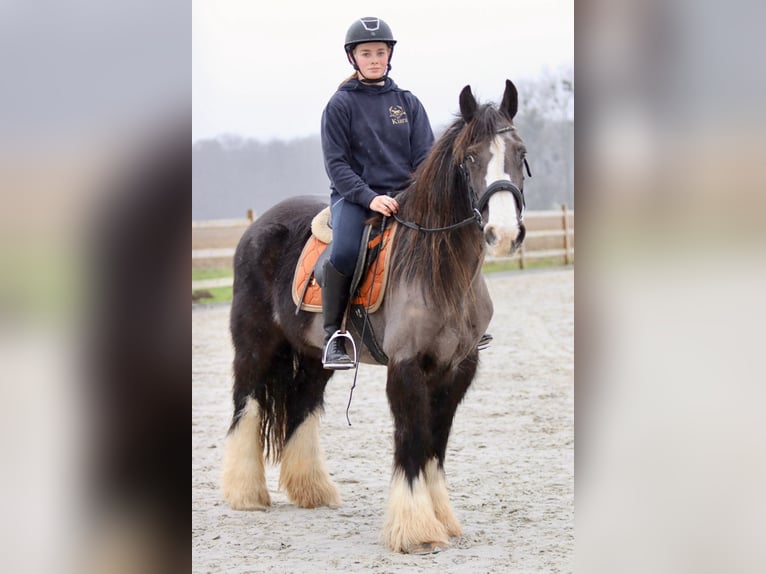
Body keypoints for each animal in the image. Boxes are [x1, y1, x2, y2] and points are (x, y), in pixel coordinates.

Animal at [222, 80, 528, 552]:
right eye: (471, 157)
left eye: (520, 151)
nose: (505, 234)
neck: (437, 269)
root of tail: (258, 227)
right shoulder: (406, 367)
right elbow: (412, 440)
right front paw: (416, 529)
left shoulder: (456, 369)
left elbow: (435, 443)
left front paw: (442, 520)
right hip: (255, 346)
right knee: (246, 404)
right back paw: (246, 493)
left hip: (315, 357)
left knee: (301, 406)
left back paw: (312, 490)